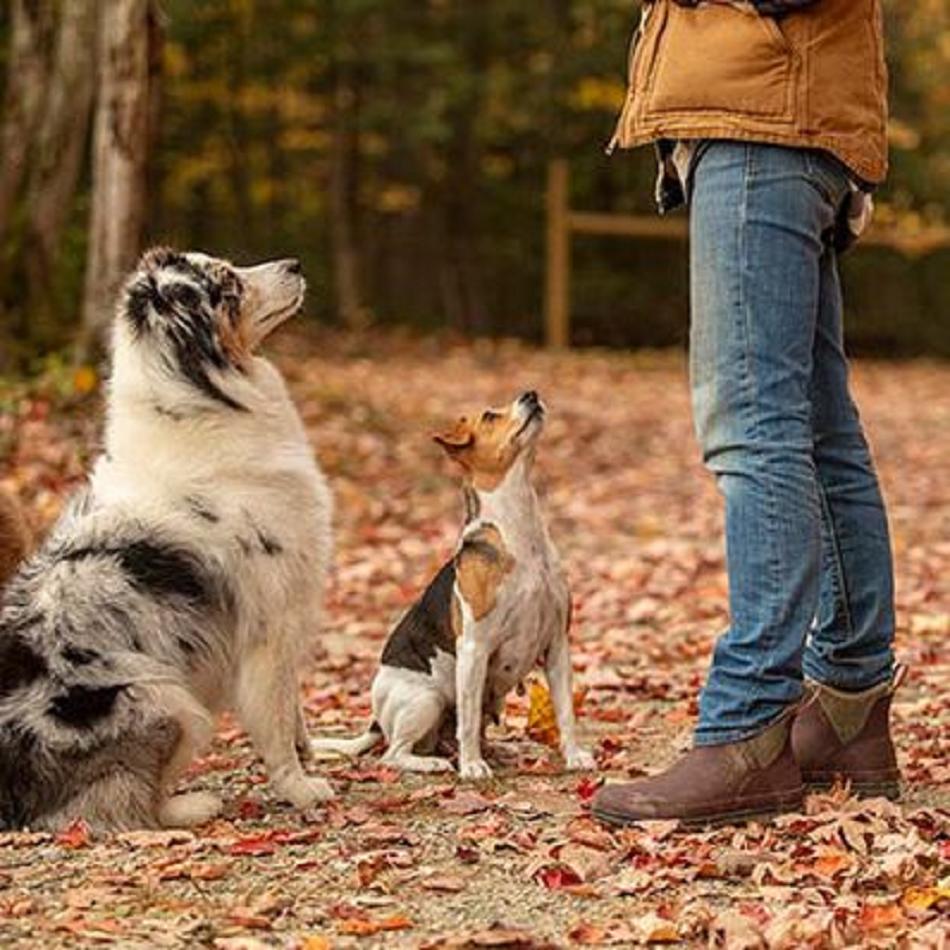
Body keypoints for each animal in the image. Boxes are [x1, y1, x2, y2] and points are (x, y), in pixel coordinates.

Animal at [0, 247, 334, 832]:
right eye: (227, 286)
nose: (294, 263)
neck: (200, 405)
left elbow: (293, 710)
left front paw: (309, 754)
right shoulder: (270, 622)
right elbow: (274, 717)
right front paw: (299, 787)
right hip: (165, 698)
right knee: (117, 804)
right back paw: (192, 804)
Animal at [314, 392, 596, 780]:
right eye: (490, 416)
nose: (531, 394)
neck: (521, 535)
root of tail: (375, 721)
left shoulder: (557, 644)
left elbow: (565, 711)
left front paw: (573, 755)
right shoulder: (474, 648)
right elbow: (468, 719)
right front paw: (472, 766)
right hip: (426, 700)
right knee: (395, 754)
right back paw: (436, 763)